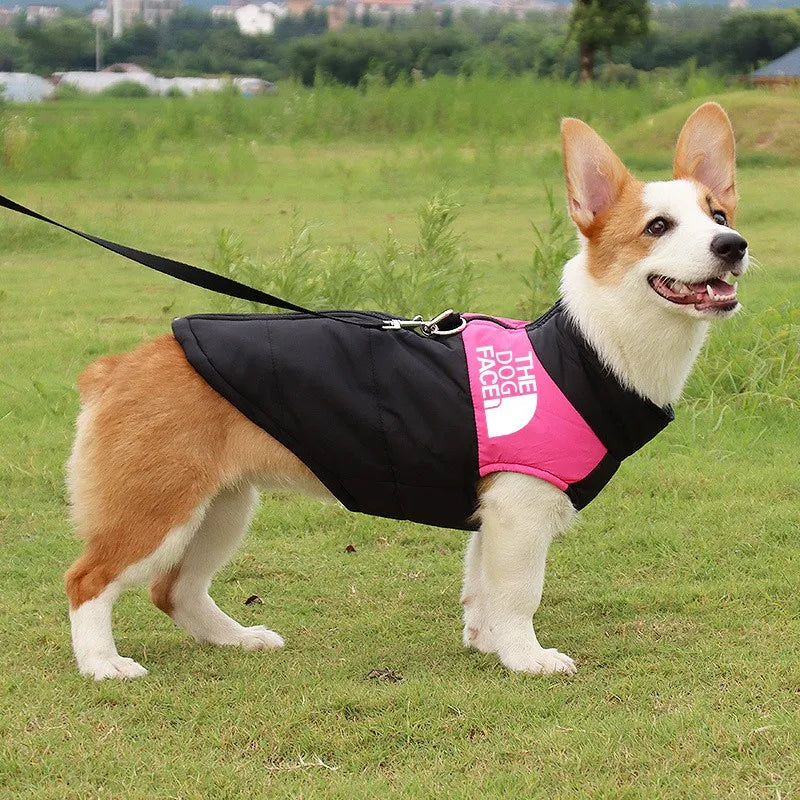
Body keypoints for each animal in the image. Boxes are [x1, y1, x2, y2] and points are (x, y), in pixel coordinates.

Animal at [65, 98, 748, 676]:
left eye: (717, 215)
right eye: (657, 226)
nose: (733, 245)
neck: (590, 347)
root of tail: (118, 366)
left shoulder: (492, 512)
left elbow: (482, 589)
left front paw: (487, 644)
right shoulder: (521, 509)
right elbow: (519, 594)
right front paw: (527, 659)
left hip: (223, 506)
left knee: (174, 589)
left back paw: (237, 638)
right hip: (158, 507)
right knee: (87, 580)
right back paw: (103, 665)